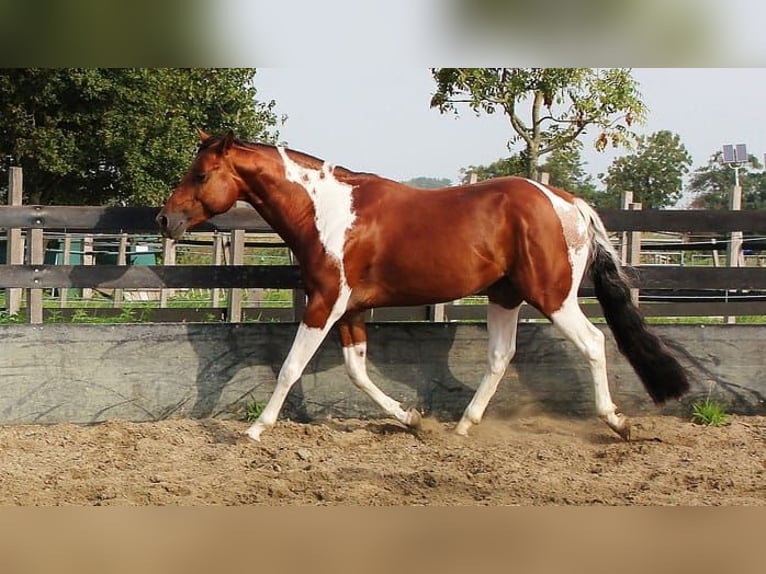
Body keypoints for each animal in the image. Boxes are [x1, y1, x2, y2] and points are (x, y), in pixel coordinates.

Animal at [156, 130, 688, 444]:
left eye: (200, 174)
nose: (165, 219)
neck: (325, 212)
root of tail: (568, 201)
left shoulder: (325, 303)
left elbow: (290, 368)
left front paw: (255, 429)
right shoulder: (351, 310)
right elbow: (357, 372)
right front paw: (411, 418)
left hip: (551, 297)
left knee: (595, 342)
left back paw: (616, 421)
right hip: (505, 296)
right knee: (501, 356)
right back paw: (464, 424)